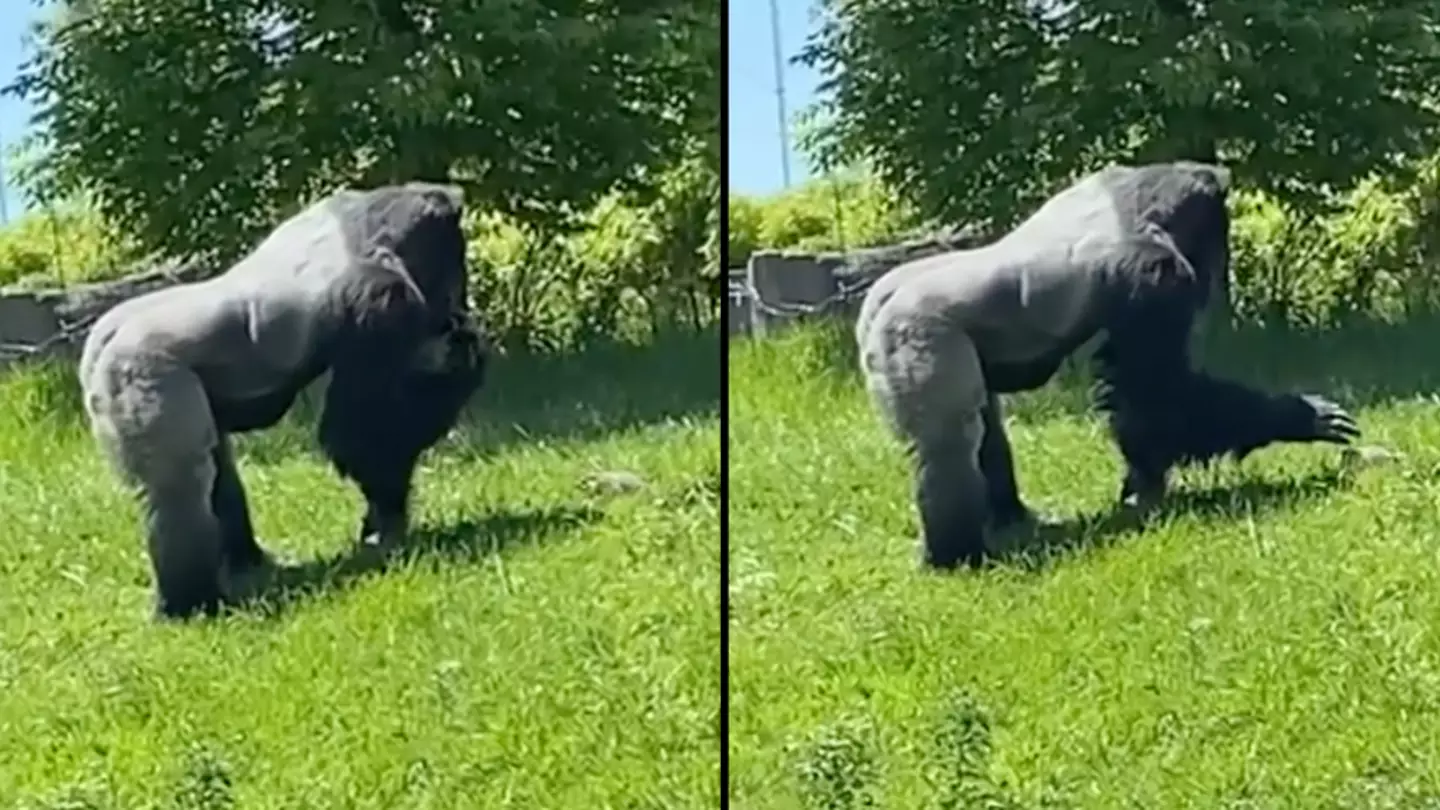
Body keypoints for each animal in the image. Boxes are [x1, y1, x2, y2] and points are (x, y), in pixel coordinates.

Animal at [80, 183, 489, 616]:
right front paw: (387, 518)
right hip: (139, 371)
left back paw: (245, 563)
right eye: (453, 255)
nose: (458, 299)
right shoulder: (382, 297)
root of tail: (98, 346)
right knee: (180, 488)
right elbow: (360, 434)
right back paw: (190, 603)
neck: (368, 226)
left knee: (215, 472)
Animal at [852, 159, 1359, 567]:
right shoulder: (1156, 274)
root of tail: (874, 306)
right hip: (916, 333)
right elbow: (1157, 394)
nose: (1217, 268)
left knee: (983, 429)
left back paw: (1010, 518)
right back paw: (956, 555)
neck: (1139, 200)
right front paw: (1300, 416)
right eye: (1217, 232)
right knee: (949, 442)